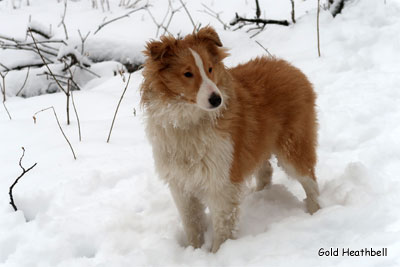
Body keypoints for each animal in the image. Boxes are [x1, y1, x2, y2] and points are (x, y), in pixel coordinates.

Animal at [141, 26, 322, 253]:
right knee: (266, 170)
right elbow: (192, 224)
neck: (189, 122)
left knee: (310, 181)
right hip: (254, 145)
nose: (216, 99)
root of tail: (289, 66)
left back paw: (316, 211)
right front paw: (194, 249)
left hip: (293, 147)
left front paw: (218, 253)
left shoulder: (221, 181)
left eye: (210, 69)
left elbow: (223, 225)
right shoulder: (180, 185)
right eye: (187, 73)